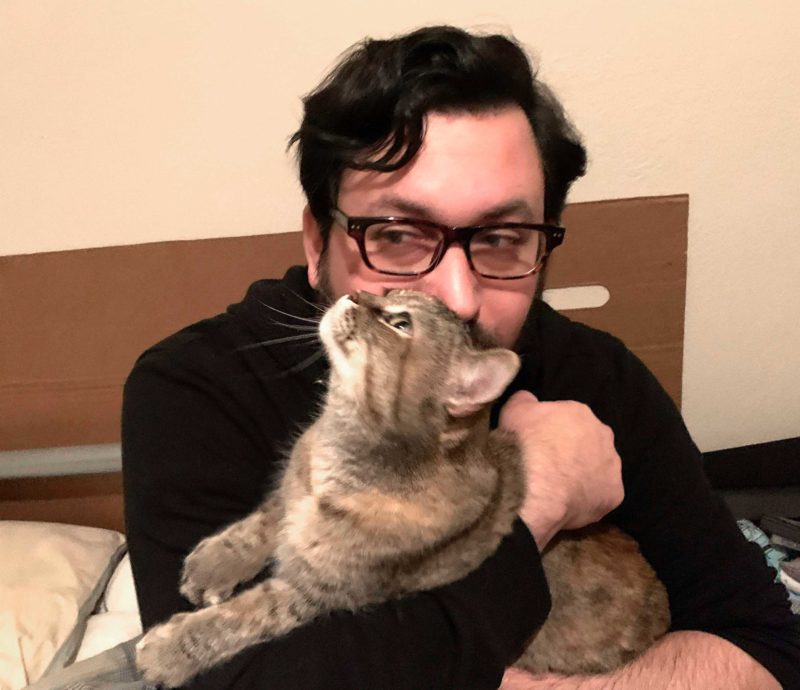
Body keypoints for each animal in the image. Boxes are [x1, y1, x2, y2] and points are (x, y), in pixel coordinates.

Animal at [138, 288, 668, 684]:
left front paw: (170, 650)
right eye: (388, 292)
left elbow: (241, 619)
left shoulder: (317, 591)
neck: (341, 445)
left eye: (400, 322)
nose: (355, 292)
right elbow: (264, 522)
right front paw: (213, 564)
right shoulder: (293, 493)